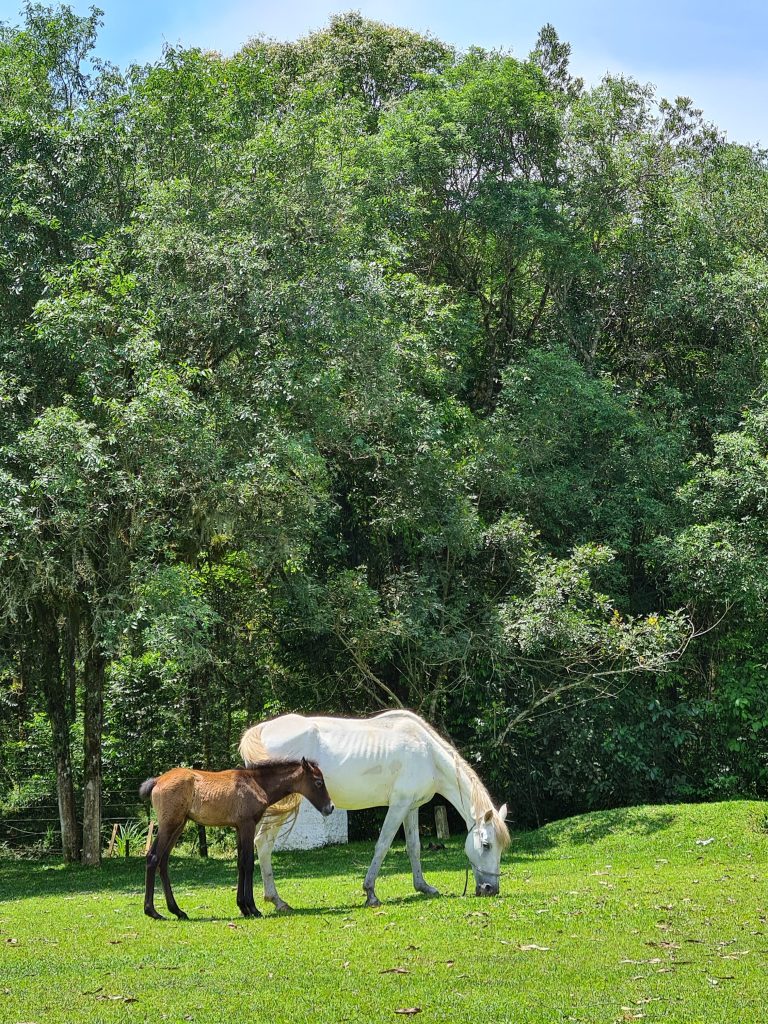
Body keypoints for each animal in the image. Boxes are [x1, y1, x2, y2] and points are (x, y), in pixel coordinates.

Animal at [141, 761, 333, 921]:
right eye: (318, 782)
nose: (330, 808)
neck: (256, 783)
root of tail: (157, 781)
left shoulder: (239, 828)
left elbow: (240, 863)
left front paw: (243, 907)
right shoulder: (247, 825)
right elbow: (248, 863)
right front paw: (253, 908)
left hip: (179, 825)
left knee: (163, 861)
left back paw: (178, 911)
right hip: (169, 825)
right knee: (153, 857)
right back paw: (153, 912)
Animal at [237, 708, 507, 909]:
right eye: (486, 845)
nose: (490, 889)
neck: (427, 753)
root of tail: (262, 730)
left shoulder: (410, 808)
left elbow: (414, 847)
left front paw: (423, 887)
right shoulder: (398, 806)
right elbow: (383, 845)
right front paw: (370, 893)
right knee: (263, 844)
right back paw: (276, 900)